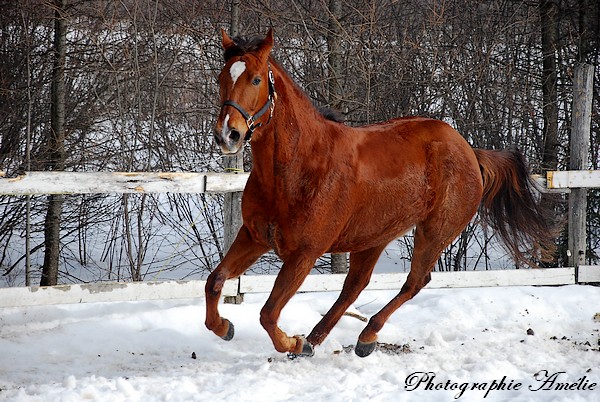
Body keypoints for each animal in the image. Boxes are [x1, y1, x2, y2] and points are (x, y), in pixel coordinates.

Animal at [205, 29, 552, 358]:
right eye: (222, 78)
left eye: (256, 79)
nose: (227, 134)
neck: (296, 170)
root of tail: (468, 150)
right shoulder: (254, 236)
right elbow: (215, 281)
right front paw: (225, 327)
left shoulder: (304, 254)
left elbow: (267, 314)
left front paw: (293, 342)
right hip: (373, 236)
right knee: (354, 287)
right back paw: (319, 340)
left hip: (435, 232)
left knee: (414, 282)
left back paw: (361, 338)